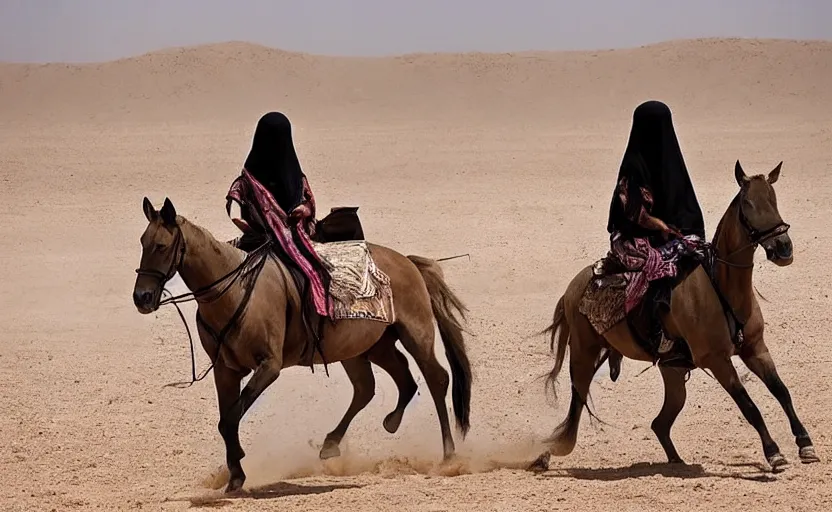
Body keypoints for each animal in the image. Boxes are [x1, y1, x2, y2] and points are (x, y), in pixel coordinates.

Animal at [133, 198, 472, 494]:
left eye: (161, 246)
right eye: (142, 243)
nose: (142, 298)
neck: (233, 289)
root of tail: (408, 263)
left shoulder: (268, 366)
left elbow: (230, 417)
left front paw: (237, 467)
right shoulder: (225, 371)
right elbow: (226, 418)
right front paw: (235, 474)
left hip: (415, 333)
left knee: (436, 379)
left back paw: (448, 456)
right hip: (367, 347)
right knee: (380, 384)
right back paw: (351, 436)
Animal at [532, 162, 820, 474]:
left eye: (773, 199)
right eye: (748, 204)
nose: (783, 248)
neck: (721, 287)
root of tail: (572, 288)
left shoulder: (755, 349)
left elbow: (782, 391)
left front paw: (805, 445)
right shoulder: (717, 360)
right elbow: (749, 407)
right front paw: (774, 453)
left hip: (672, 373)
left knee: (660, 423)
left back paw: (676, 461)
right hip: (583, 353)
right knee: (577, 405)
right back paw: (543, 456)